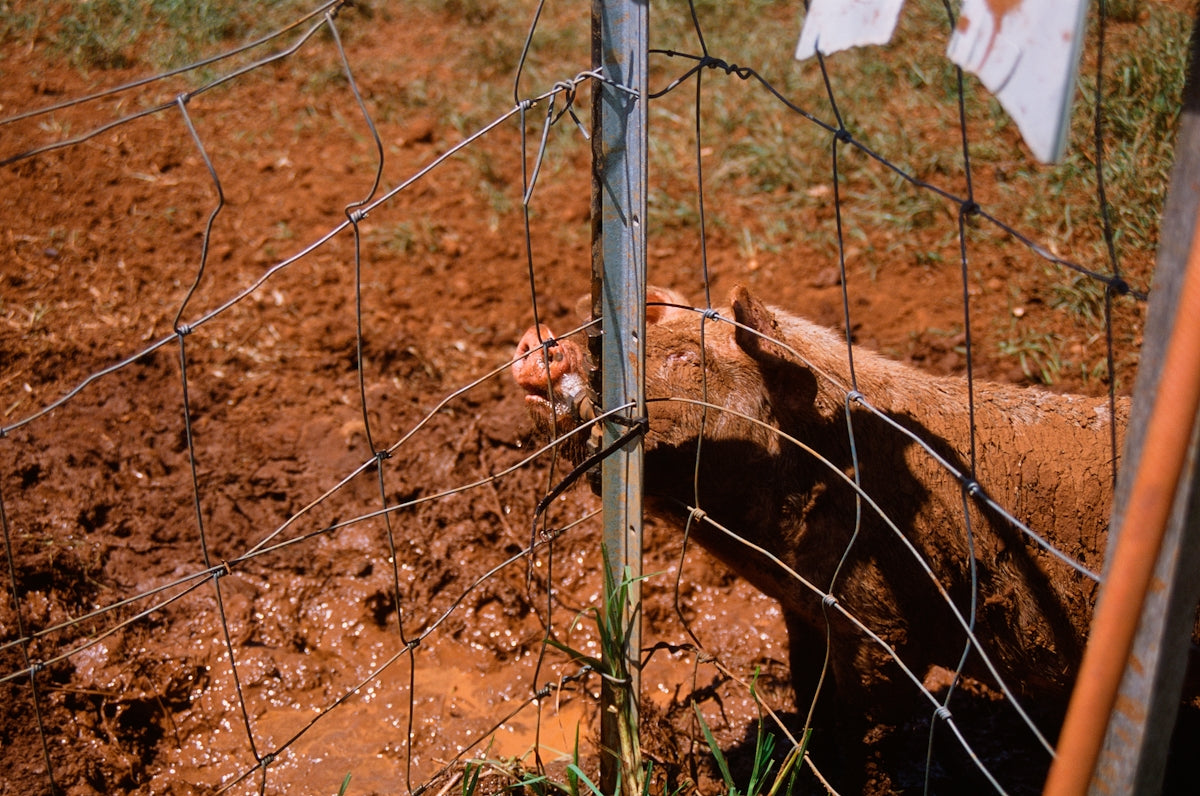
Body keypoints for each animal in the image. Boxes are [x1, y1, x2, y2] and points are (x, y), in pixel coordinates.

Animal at [511, 284, 1164, 783]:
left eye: (689, 361)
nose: (540, 341)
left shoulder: (882, 625)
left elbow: (865, 722)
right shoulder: (804, 611)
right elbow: (808, 693)